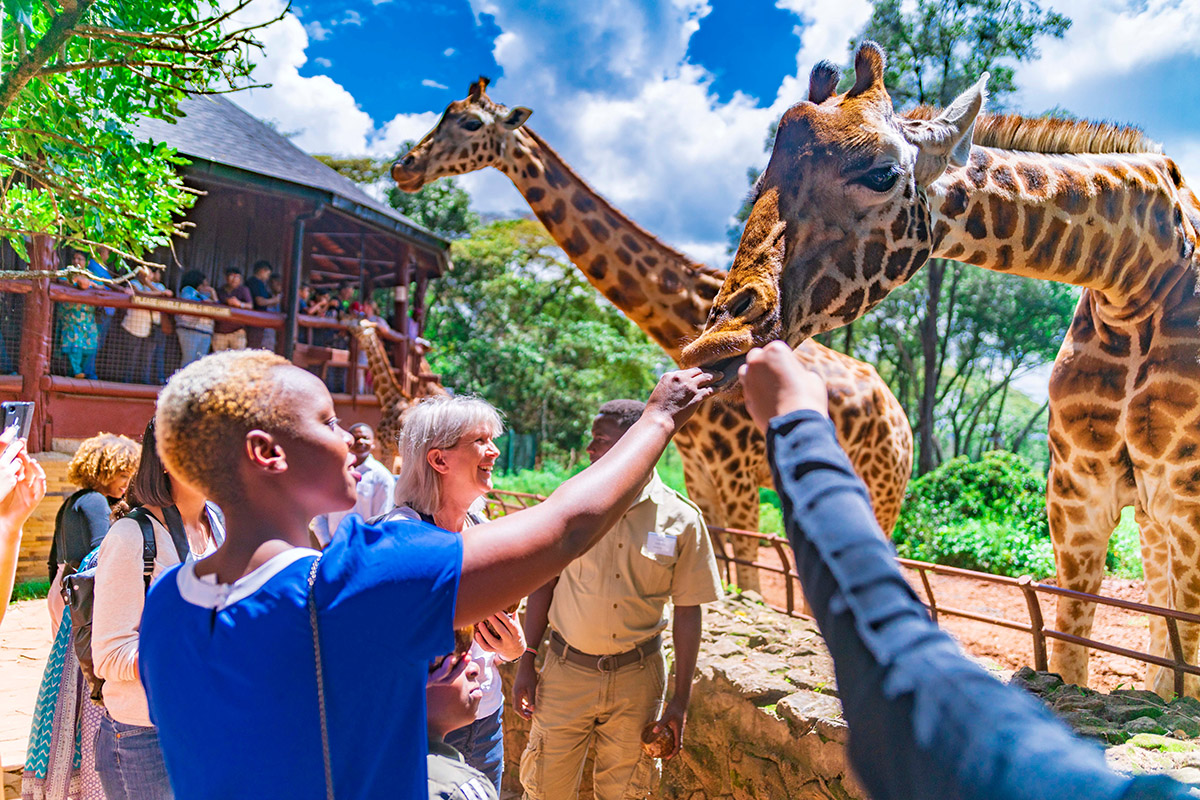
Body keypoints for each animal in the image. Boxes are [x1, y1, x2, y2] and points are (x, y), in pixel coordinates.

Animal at [392, 78, 913, 593]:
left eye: (470, 122)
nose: (404, 167)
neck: (684, 320)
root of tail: (900, 416)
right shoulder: (703, 476)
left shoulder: (739, 477)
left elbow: (747, 579)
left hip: (884, 487)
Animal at [681, 43, 1200, 695]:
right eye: (760, 183)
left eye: (880, 174)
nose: (716, 340)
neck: (1136, 277)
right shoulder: (1076, 494)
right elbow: (1070, 649)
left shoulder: (1188, 496)